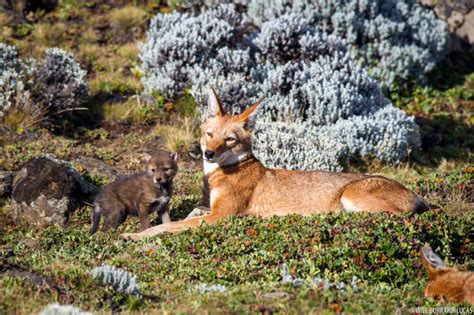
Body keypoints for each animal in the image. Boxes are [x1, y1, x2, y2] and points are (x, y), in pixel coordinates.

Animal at [121, 87, 426, 241]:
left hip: (352, 197)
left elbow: (169, 226)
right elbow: (190, 212)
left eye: (229, 140)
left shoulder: (221, 217)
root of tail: (417, 196)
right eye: (209, 134)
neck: (219, 174)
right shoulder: (209, 209)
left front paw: (137, 237)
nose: (208, 154)